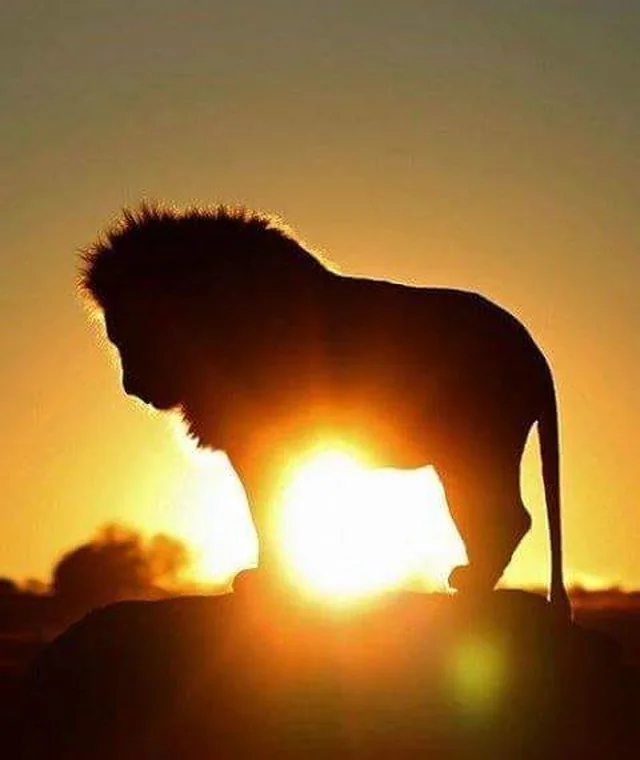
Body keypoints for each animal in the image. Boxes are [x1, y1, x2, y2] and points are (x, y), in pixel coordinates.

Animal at [80, 203, 570, 616]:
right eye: (116, 337)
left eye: (132, 334)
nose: (132, 387)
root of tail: (532, 349)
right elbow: (265, 511)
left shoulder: (264, 441)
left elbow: (269, 510)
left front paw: (269, 582)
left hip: (473, 447)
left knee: (508, 517)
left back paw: (471, 585)